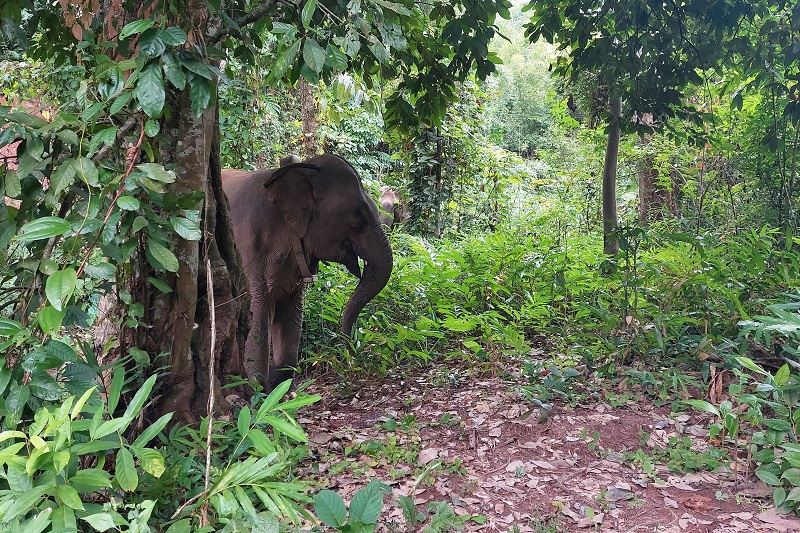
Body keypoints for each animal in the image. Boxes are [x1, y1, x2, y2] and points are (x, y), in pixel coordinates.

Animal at [221, 154, 393, 391]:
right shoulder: (248, 252)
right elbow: (256, 314)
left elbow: (291, 314)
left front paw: (279, 387)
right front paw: (256, 389)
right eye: (357, 215)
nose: (352, 352)